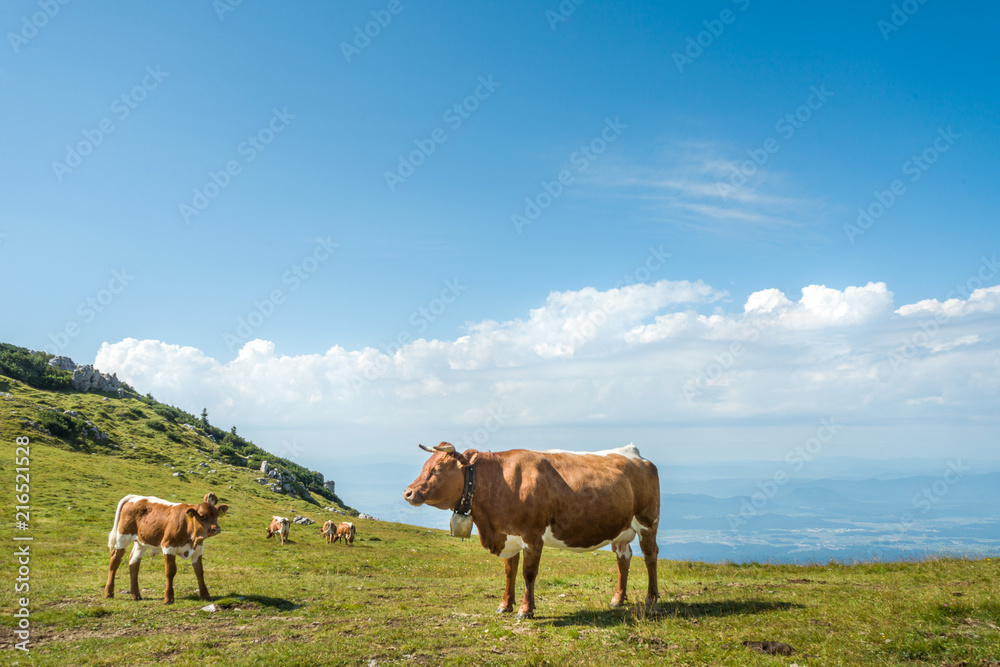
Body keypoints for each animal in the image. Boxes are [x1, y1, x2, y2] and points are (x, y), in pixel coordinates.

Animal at [402, 444, 660, 620]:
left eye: (436, 469)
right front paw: (505, 605)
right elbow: (510, 572)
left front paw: (526, 610)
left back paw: (651, 599)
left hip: (648, 522)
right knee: (623, 558)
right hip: (621, 529)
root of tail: (636, 454)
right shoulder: (509, 535)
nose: (408, 492)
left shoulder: (532, 536)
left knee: (650, 556)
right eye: (425, 466)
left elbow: (528, 574)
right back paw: (617, 599)